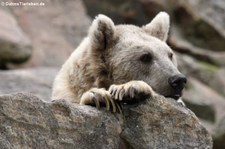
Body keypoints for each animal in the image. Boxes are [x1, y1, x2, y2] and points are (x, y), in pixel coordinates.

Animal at [51, 11, 186, 112]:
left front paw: (128, 89)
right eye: (145, 56)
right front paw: (100, 96)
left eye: (170, 55)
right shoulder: (66, 91)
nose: (178, 80)